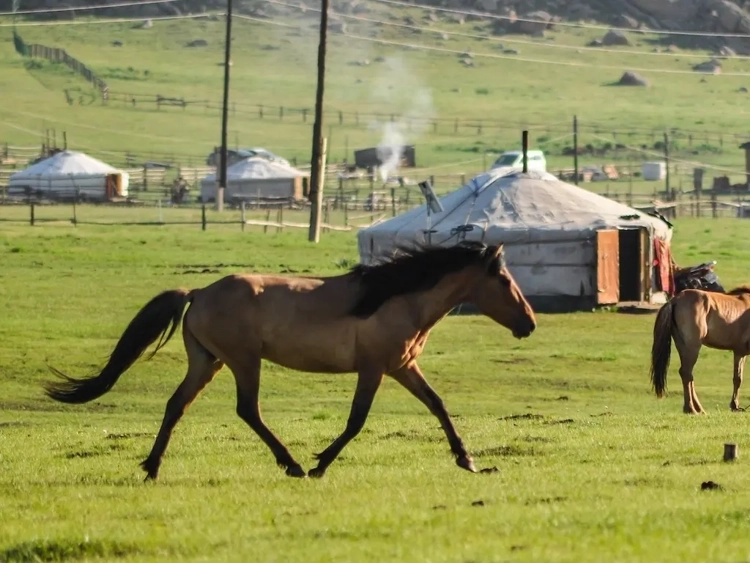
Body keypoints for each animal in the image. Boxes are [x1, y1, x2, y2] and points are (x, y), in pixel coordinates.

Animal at [44, 241, 537, 480]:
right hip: (244, 361)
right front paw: (319, 464)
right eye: (505, 280)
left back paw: (152, 468)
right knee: (248, 410)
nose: (529, 323)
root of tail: (199, 292)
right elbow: (356, 422)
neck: (395, 299)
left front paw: (468, 460)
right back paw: (292, 464)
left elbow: (437, 405)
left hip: (208, 362)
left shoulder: (402, 367)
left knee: (176, 406)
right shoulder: (375, 369)